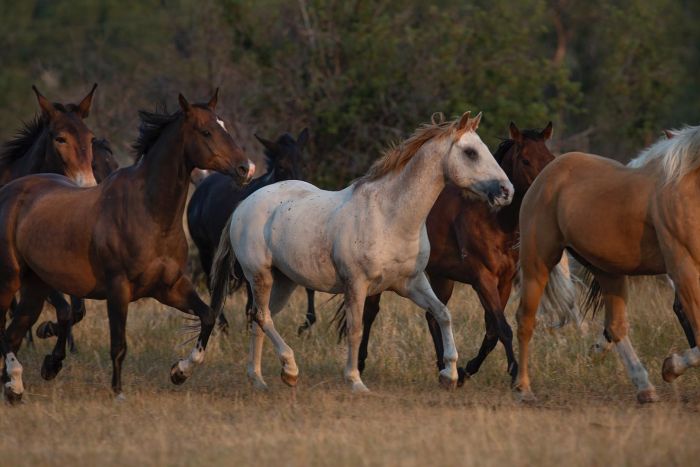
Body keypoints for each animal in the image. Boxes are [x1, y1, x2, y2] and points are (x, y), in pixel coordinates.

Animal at [0, 90, 254, 402]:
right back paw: (17, 380)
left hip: (36, 286)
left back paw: (15, 385)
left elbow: (207, 315)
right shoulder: (118, 288)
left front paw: (180, 371)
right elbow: (118, 344)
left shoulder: (169, 286)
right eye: (206, 131)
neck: (149, 214)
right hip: (10, 280)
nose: (245, 168)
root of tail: (8, 192)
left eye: (224, 126)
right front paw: (118, 393)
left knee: (13, 332)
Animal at [186, 128, 318, 332]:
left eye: (303, 163)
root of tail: (201, 185)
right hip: (206, 250)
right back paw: (223, 326)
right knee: (212, 282)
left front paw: (306, 324)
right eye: (281, 166)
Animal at [209, 112, 516, 392]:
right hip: (260, 276)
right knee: (262, 317)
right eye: (470, 152)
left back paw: (260, 379)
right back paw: (290, 369)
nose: (507, 191)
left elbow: (442, 313)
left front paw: (450, 374)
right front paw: (355, 381)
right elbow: (355, 330)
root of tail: (245, 203)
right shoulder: (357, 285)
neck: (390, 217)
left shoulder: (411, 283)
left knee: (259, 319)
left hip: (285, 282)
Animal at [336, 121, 576, 384]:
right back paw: (361, 363)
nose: (547, 193)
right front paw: (513, 373)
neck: (493, 221)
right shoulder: (482, 279)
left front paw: (466, 370)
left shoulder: (503, 281)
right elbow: (502, 328)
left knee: (433, 316)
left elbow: (492, 330)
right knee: (370, 313)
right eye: (525, 160)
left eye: (550, 158)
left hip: (442, 278)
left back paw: (444, 367)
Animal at [512, 125, 700, 406]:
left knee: (615, 326)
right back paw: (523, 389)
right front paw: (670, 367)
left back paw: (644, 388)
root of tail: (548, 173)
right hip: (537, 263)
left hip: (609, 271)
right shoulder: (684, 268)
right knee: (525, 320)